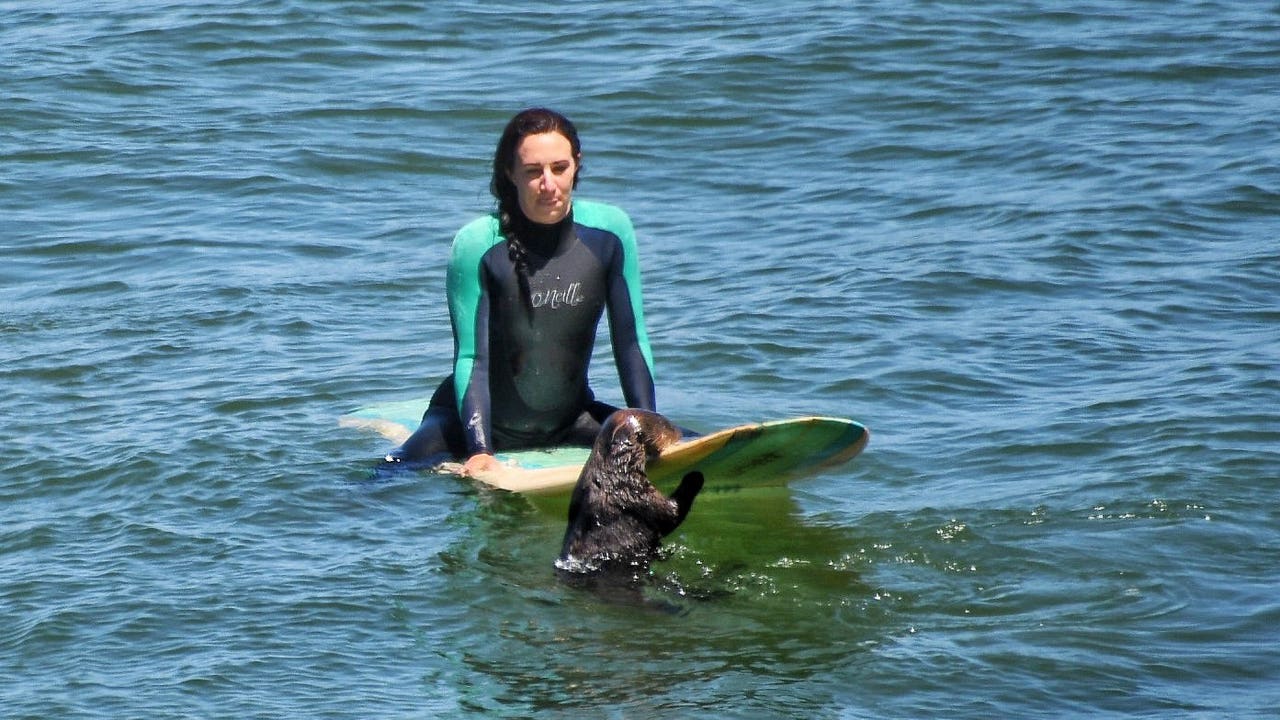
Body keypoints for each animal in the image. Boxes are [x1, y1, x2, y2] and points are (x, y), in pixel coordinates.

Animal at [555, 407, 706, 573]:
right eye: (666, 426)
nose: (679, 433)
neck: (611, 475)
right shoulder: (638, 496)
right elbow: (671, 513)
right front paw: (695, 475)